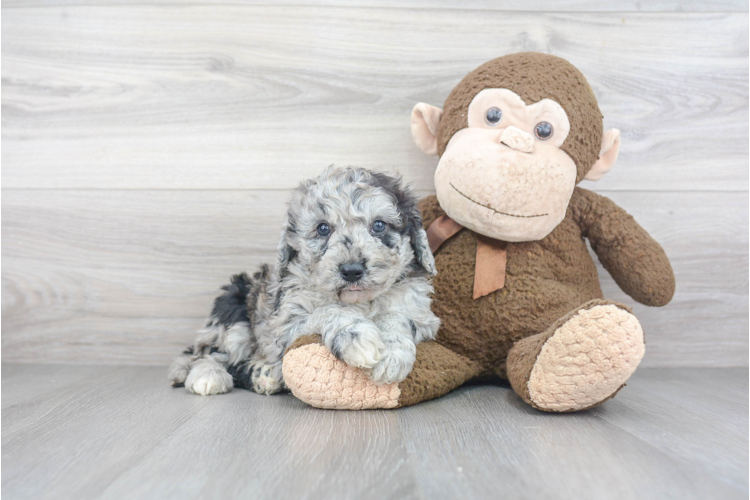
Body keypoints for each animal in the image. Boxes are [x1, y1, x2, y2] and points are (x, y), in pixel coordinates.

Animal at [170, 166, 440, 396]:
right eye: (323, 228)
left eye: (379, 225)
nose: (351, 270)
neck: (359, 301)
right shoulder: (287, 322)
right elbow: (327, 311)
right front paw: (357, 337)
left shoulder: (422, 316)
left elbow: (398, 317)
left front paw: (391, 356)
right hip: (232, 313)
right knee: (209, 354)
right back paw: (211, 376)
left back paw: (264, 375)